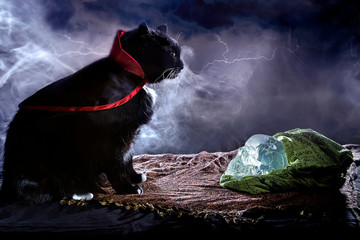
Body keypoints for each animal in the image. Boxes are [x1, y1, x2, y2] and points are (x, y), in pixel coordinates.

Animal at [0, 22, 184, 203]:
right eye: (172, 53)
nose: (182, 66)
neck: (130, 73)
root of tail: (6, 185)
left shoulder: (129, 134)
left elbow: (128, 157)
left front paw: (135, 177)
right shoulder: (112, 137)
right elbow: (117, 165)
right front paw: (127, 189)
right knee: (46, 191)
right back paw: (81, 193)